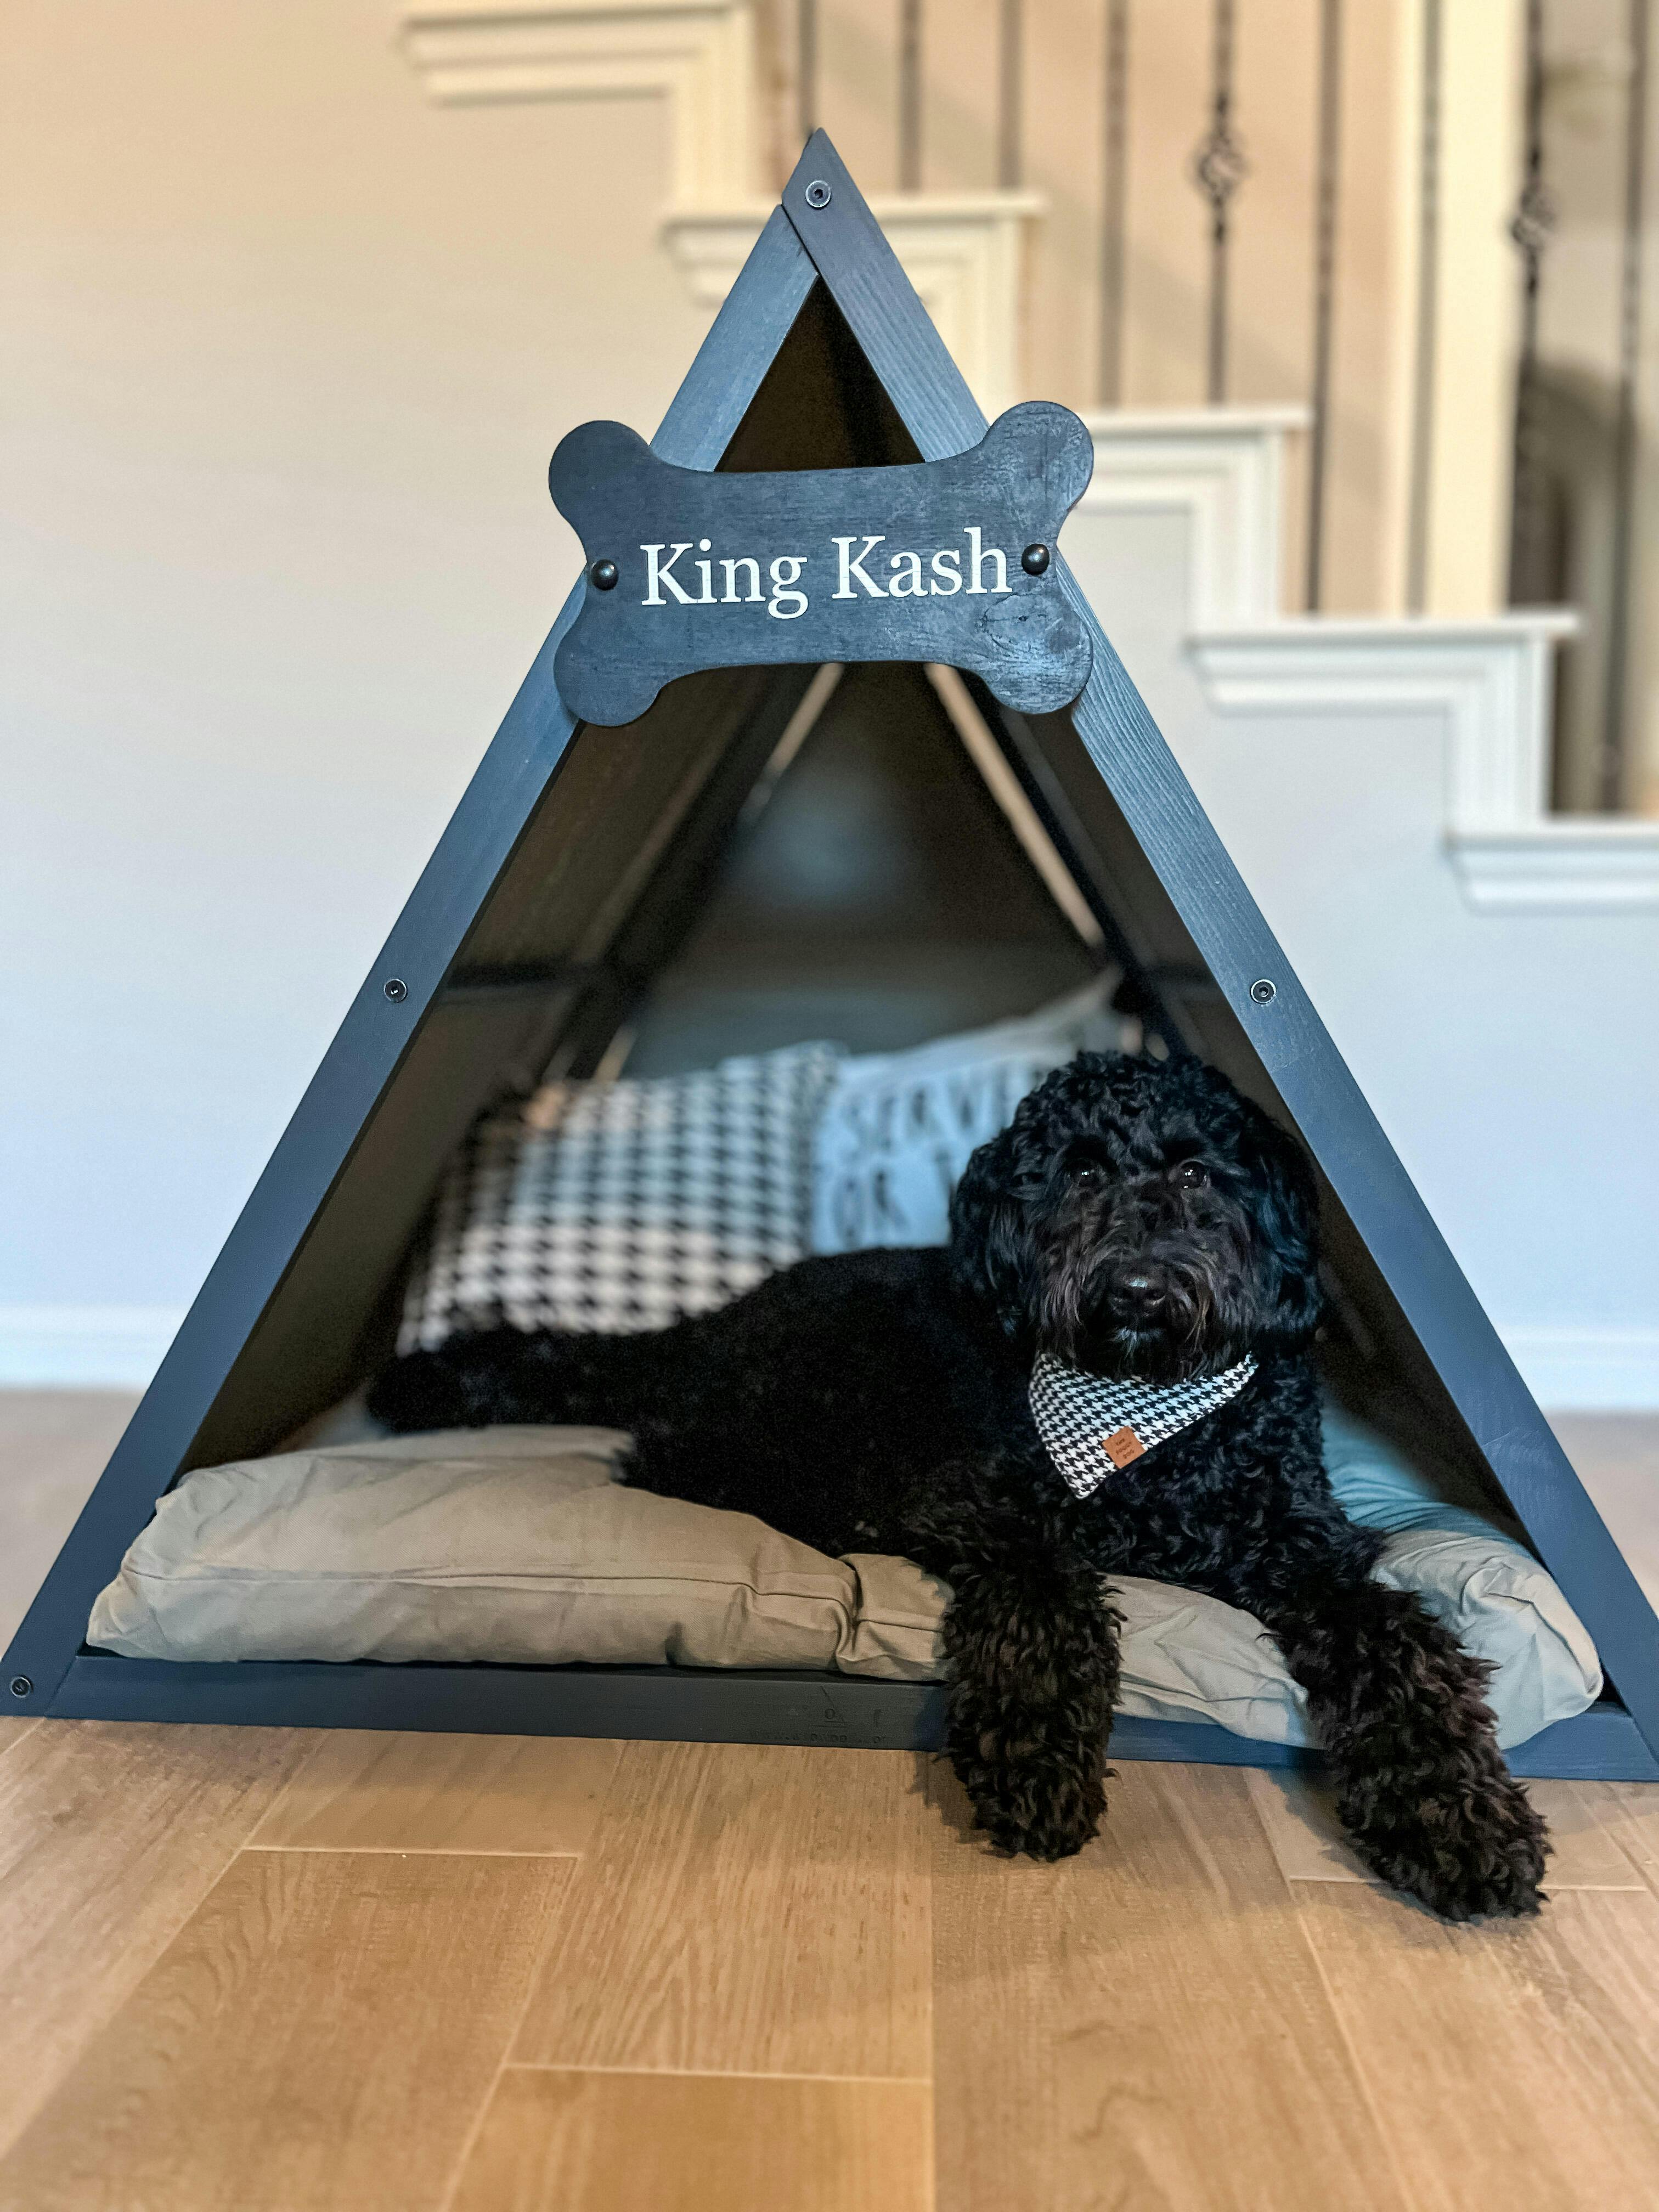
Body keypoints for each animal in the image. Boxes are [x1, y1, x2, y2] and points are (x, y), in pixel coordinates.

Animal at [370, 1049, 1549, 1919]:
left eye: (1194, 1173)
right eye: (1078, 1171)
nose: (1136, 1286)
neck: (1141, 1424)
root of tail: (706, 1326)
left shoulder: (1304, 1547)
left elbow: (1399, 1650)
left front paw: (1458, 1818)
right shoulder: (986, 1501)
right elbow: (1045, 1602)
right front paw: (1035, 1759)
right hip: (812, 1404)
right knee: (676, 1464)